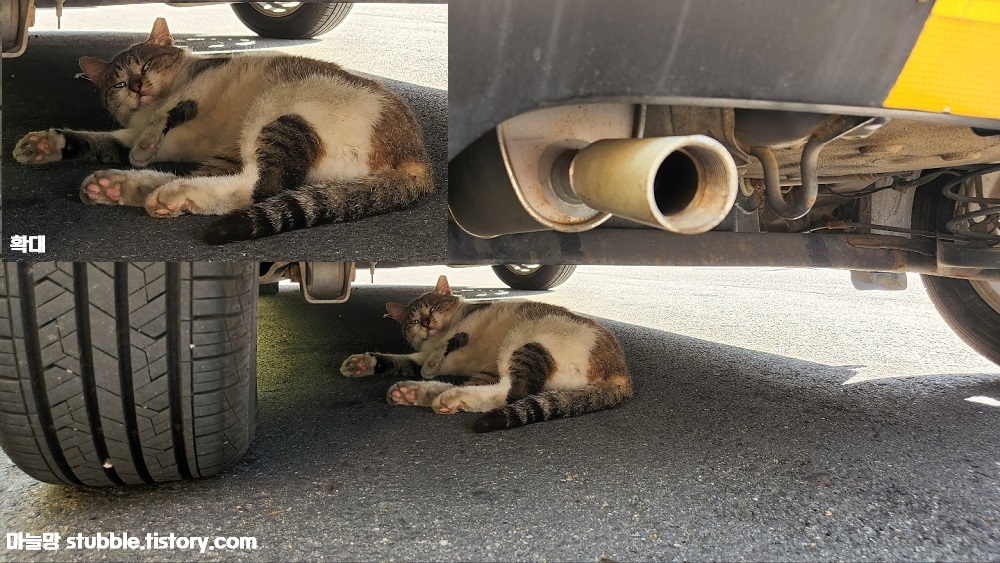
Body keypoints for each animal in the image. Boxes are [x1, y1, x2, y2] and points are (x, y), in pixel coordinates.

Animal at [10, 18, 434, 243]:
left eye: (146, 65)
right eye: (117, 83)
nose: (136, 86)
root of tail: (416, 156)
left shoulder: (202, 83)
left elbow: (170, 112)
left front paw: (148, 140)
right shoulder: (136, 137)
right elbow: (98, 141)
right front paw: (43, 145)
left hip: (276, 110)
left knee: (261, 185)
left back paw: (162, 191)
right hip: (242, 144)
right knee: (232, 181)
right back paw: (121, 186)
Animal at [338, 276, 632, 432]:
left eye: (432, 308)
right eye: (413, 321)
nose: (426, 323)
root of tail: (621, 372)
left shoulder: (471, 321)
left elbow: (450, 341)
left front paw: (433, 362)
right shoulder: (423, 357)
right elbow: (398, 361)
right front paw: (361, 364)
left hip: (523, 339)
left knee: (513, 392)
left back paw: (443, 395)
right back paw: (416, 392)